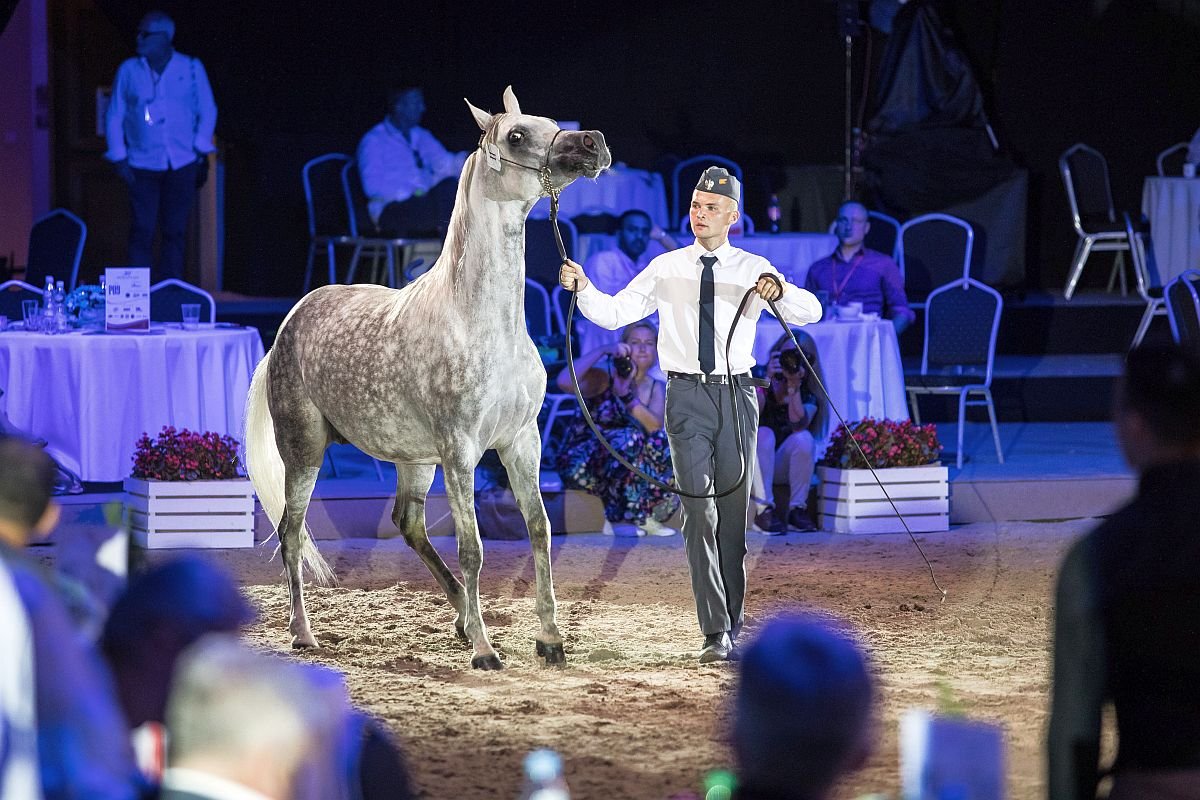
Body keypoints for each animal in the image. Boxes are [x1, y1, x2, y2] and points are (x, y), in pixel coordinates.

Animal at [248, 87, 614, 671]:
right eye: (516, 135)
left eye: (553, 121)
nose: (593, 143)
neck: (480, 322)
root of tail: (289, 322)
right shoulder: (460, 450)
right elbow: (473, 547)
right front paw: (487, 652)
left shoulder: (522, 441)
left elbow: (539, 531)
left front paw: (549, 639)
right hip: (304, 451)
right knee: (291, 531)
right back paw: (304, 632)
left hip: (414, 461)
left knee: (407, 523)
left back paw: (461, 617)